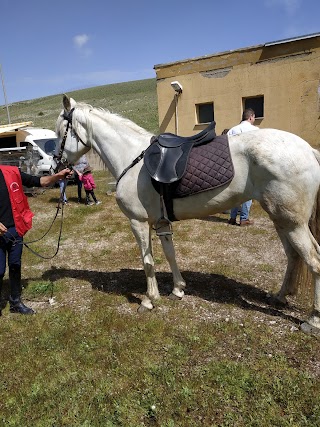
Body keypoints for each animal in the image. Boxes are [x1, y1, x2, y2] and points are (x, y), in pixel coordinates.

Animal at [56, 96, 320, 334]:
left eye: (60, 132)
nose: (57, 165)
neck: (131, 158)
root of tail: (309, 150)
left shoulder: (138, 222)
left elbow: (147, 261)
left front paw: (150, 300)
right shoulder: (161, 223)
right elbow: (170, 255)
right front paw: (178, 289)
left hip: (292, 223)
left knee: (313, 261)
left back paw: (313, 320)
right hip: (282, 220)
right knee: (293, 256)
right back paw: (280, 296)